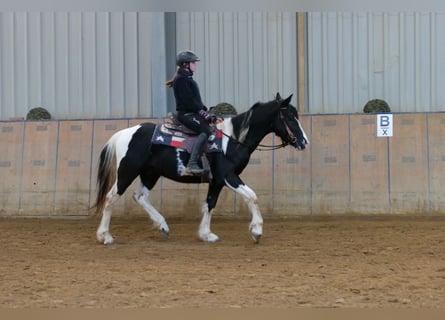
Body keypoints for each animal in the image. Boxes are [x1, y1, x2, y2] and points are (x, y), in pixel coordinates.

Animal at [93, 94, 308, 244]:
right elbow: (252, 196)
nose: (304, 142)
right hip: (127, 172)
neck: (232, 139)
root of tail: (123, 133)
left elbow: (209, 204)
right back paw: (105, 236)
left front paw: (206, 234)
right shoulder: (228, 176)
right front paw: (256, 231)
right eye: (290, 117)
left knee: (140, 196)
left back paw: (163, 226)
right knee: (111, 198)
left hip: (150, 174)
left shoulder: (217, 181)